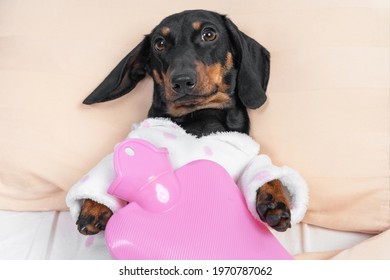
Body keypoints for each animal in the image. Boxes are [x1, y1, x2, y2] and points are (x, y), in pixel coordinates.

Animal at [76, 9, 290, 234]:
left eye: (209, 34)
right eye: (159, 43)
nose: (181, 81)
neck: (199, 114)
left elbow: (264, 173)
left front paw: (274, 198)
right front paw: (95, 205)